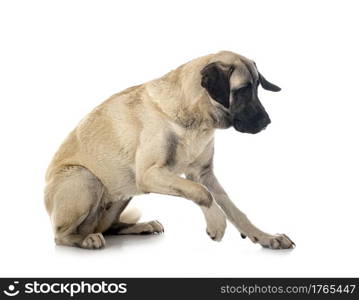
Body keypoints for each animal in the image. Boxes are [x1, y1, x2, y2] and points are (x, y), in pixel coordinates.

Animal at [45, 51, 296, 248]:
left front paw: (264, 236)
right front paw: (216, 223)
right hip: (86, 178)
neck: (196, 119)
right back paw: (85, 239)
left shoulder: (203, 173)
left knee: (109, 227)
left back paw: (141, 226)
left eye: (257, 88)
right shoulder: (150, 175)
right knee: (62, 235)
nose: (266, 122)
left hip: (123, 192)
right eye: (243, 90)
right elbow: (201, 193)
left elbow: (233, 208)